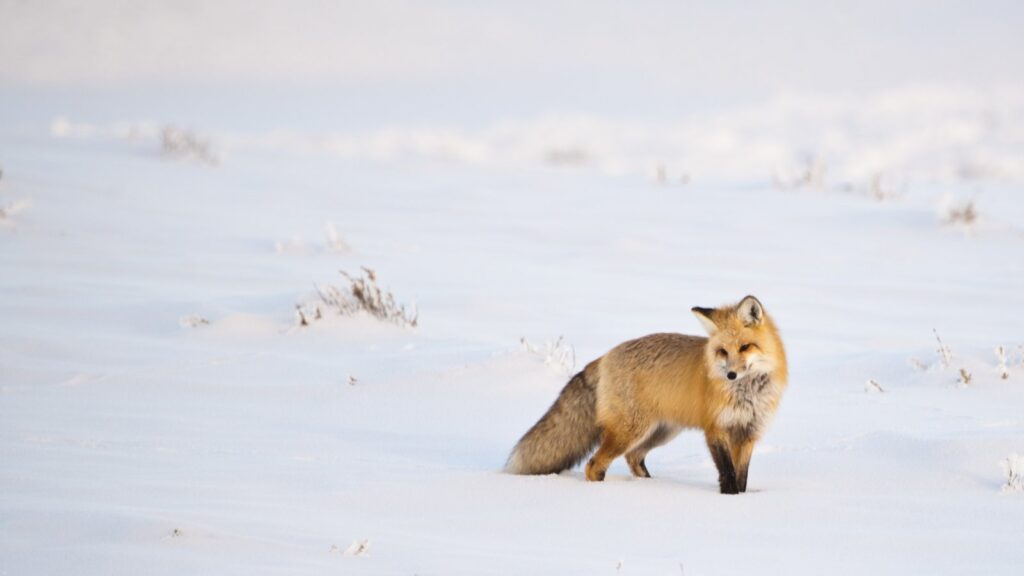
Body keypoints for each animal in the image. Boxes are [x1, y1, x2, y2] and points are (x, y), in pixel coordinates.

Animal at [505, 295, 787, 494]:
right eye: (722, 352)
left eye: (745, 347)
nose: (730, 375)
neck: (747, 393)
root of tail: (605, 355)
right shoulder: (716, 429)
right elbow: (727, 473)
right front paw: (730, 500)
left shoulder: (749, 432)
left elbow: (742, 476)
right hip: (631, 430)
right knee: (594, 464)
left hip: (661, 431)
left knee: (633, 457)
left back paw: (649, 486)